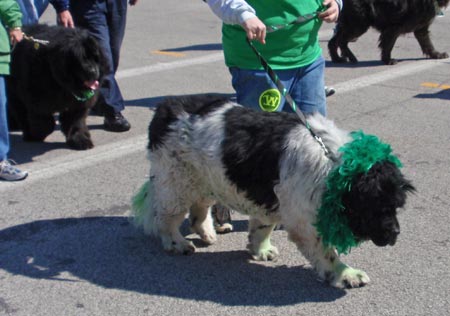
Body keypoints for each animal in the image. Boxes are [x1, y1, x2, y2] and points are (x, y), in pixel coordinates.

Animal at [131, 94, 414, 288]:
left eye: (395, 206)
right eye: (379, 208)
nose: (396, 232)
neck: (332, 162)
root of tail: (165, 107)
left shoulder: (271, 201)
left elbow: (262, 227)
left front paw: (260, 249)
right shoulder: (303, 219)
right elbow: (326, 252)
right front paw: (346, 274)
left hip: (205, 177)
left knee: (199, 208)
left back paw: (207, 233)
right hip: (177, 181)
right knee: (167, 218)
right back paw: (177, 243)